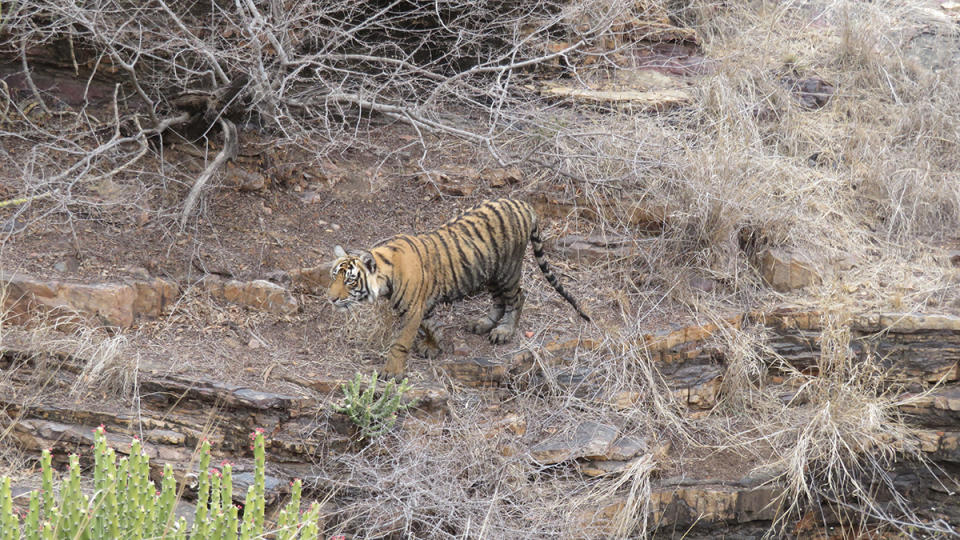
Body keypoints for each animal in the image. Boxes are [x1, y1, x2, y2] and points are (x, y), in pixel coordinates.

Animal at [330, 196, 592, 378]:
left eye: (350, 280)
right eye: (334, 276)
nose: (331, 299)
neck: (386, 278)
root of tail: (522, 204)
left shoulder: (413, 308)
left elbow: (401, 342)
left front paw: (391, 371)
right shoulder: (423, 305)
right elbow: (431, 326)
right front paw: (435, 345)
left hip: (507, 270)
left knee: (517, 296)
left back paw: (504, 331)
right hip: (489, 272)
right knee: (499, 301)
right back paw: (483, 324)